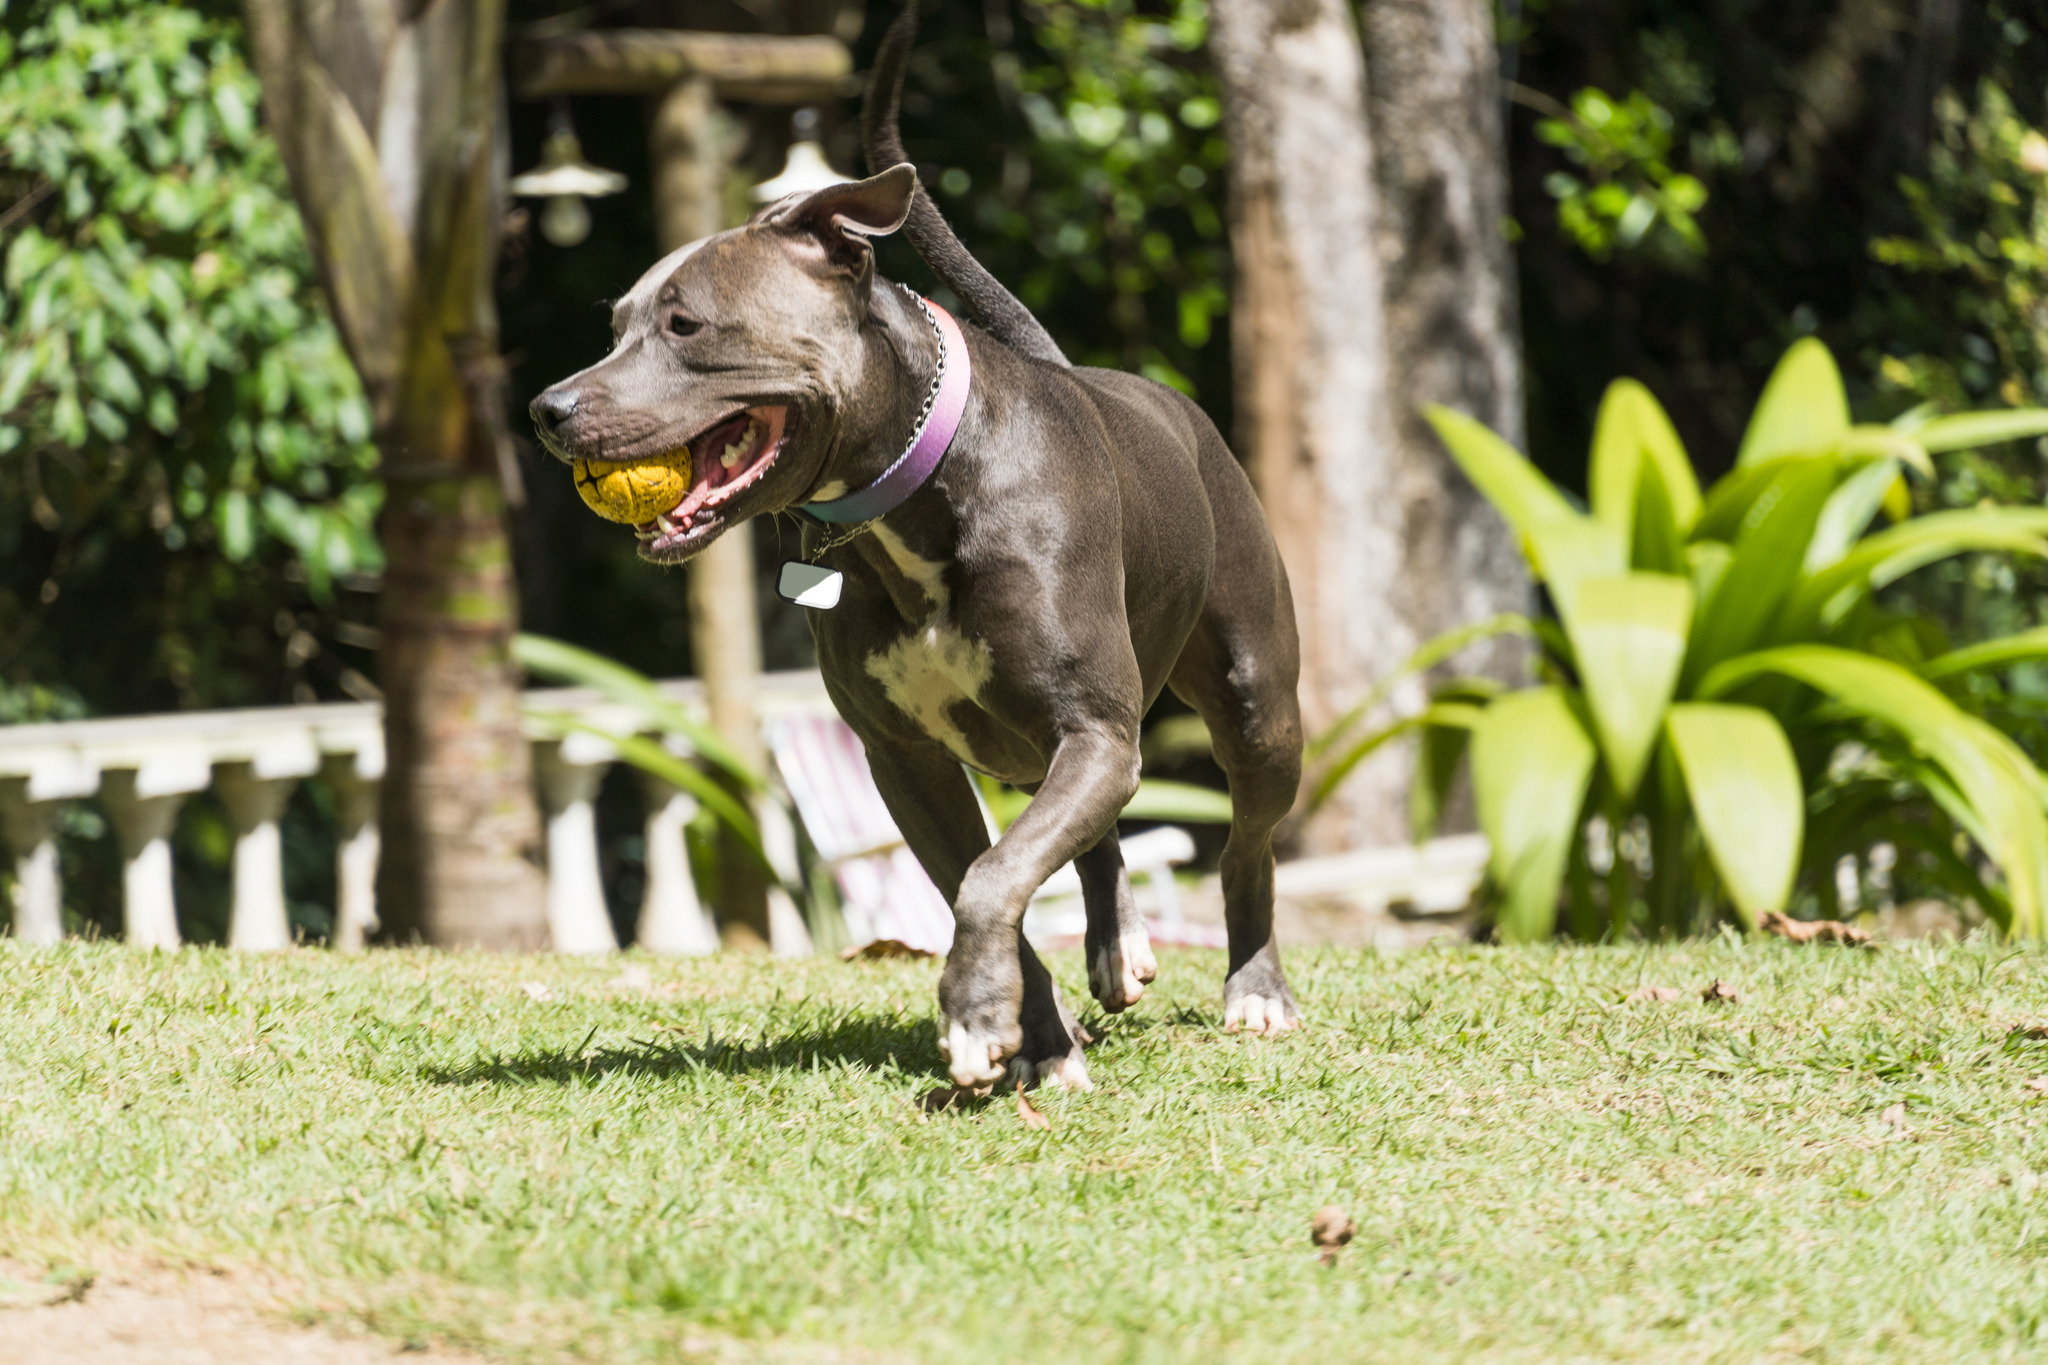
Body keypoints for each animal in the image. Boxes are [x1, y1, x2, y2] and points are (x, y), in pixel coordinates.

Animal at [528, 2, 1294, 1088]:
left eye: (685, 325)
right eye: (620, 323)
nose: (546, 409)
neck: (910, 507)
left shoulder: (1091, 726)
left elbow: (995, 876)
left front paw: (981, 1015)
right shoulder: (909, 763)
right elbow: (986, 880)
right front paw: (1027, 1038)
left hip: (1253, 700)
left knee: (1244, 843)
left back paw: (1256, 989)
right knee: (1093, 840)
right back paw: (1117, 949)